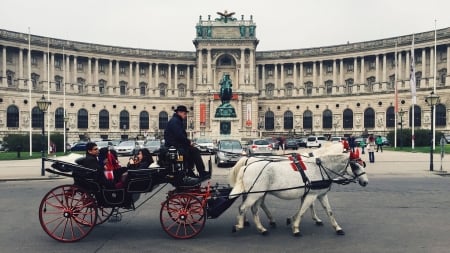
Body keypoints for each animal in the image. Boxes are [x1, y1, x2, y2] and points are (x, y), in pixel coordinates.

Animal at [230, 143, 368, 236]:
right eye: (355, 165)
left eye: (363, 164)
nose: (365, 182)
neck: (320, 168)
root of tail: (248, 164)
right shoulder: (311, 194)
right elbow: (303, 210)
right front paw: (296, 227)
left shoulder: (320, 194)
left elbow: (329, 211)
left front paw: (337, 228)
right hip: (255, 194)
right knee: (244, 207)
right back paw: (240, 225)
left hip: (258, 193)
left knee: (254, 208)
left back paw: (260, 227)